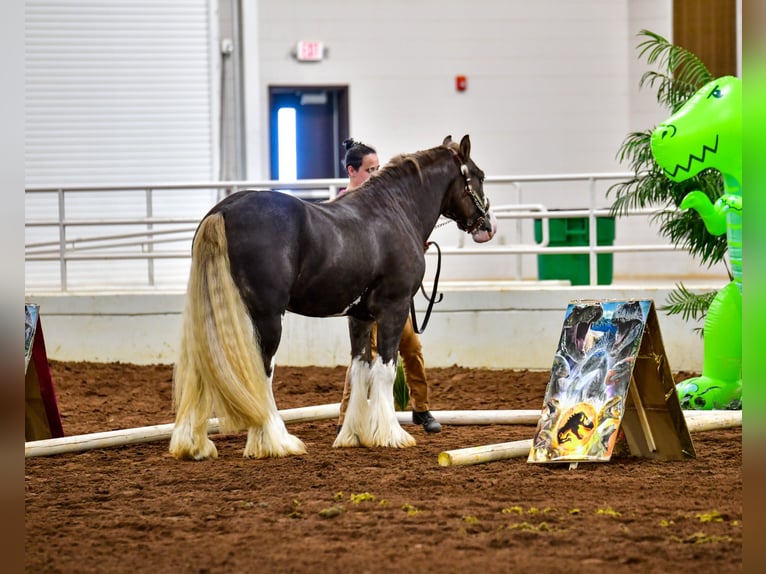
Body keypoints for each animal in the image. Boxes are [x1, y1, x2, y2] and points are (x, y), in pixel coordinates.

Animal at [170, 133, 498, 462]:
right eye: (479, 176)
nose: (488, 226)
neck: (395, 211)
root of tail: (224, 210)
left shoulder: (361, 316)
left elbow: (360, 370)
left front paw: (356, 435)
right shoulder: (394, 307)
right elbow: (385, 370)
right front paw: (392, 435)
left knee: (200, 372)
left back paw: (194, 445)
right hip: (266, 317)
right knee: (262, 374)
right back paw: (276, 442)